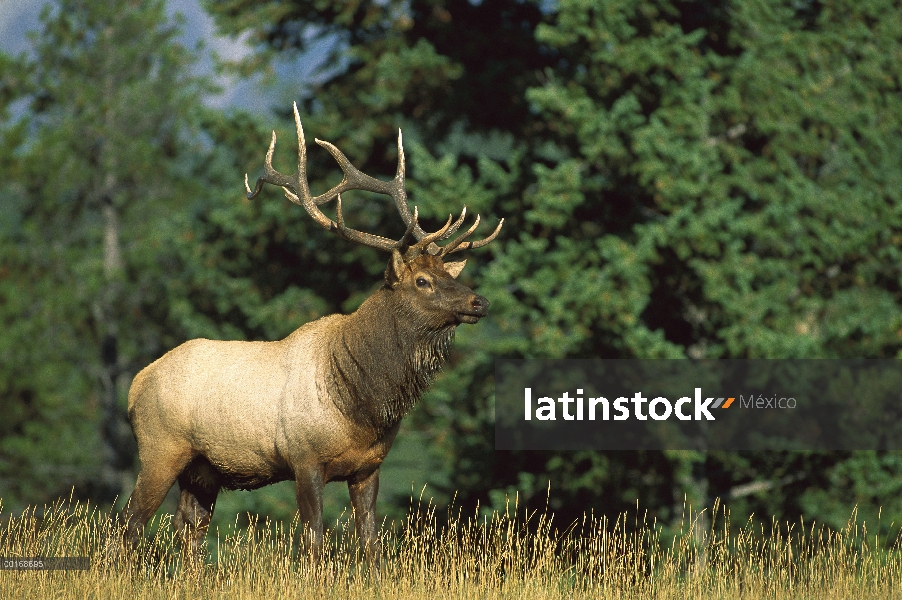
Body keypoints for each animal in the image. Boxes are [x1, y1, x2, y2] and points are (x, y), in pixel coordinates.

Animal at [121, 103, 504, 564]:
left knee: (188, 528)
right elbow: (314, 541)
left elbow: (370, 543)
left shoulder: (369, 466)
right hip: (160, 449)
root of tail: (135, 385)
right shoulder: (303, 457)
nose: (480, 302)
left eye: (450, 274)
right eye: (422, 281)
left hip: (203, 469)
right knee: (130, 523)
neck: (363, 405)